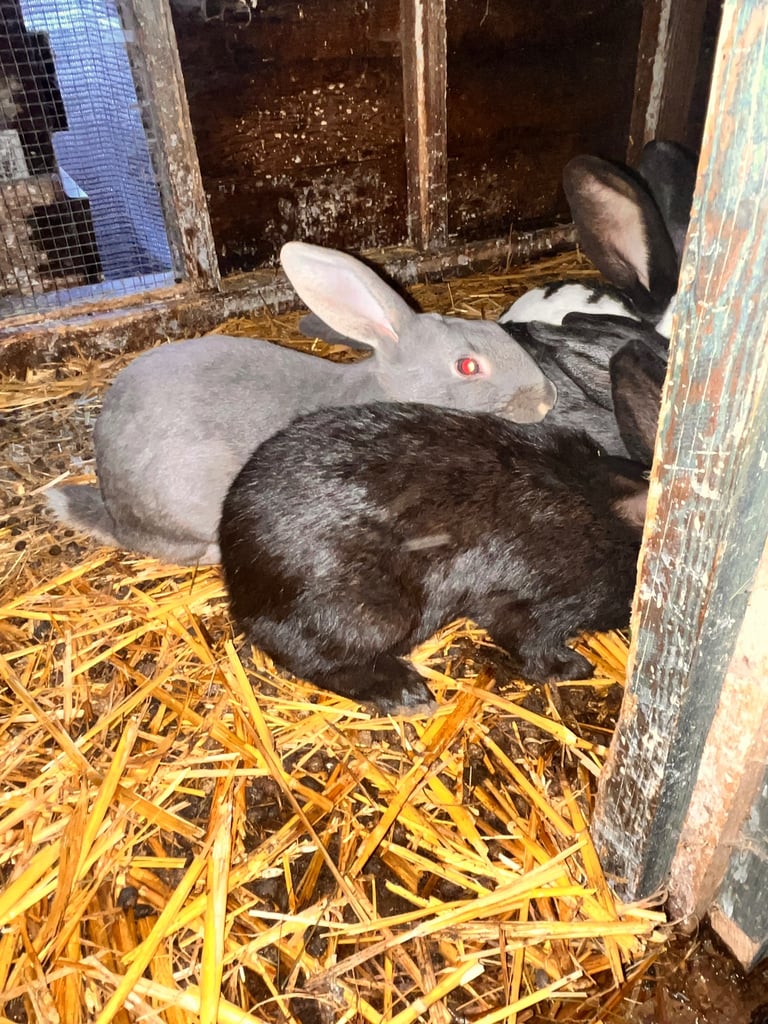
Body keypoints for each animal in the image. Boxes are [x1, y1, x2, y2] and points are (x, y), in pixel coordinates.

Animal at [218, 341, 659, 713]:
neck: (603, 514)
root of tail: (240, 581)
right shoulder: (531, 604)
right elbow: (530, 645)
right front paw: (574, 668)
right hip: (375, 616)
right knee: (310, 657)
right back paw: (404, 692)